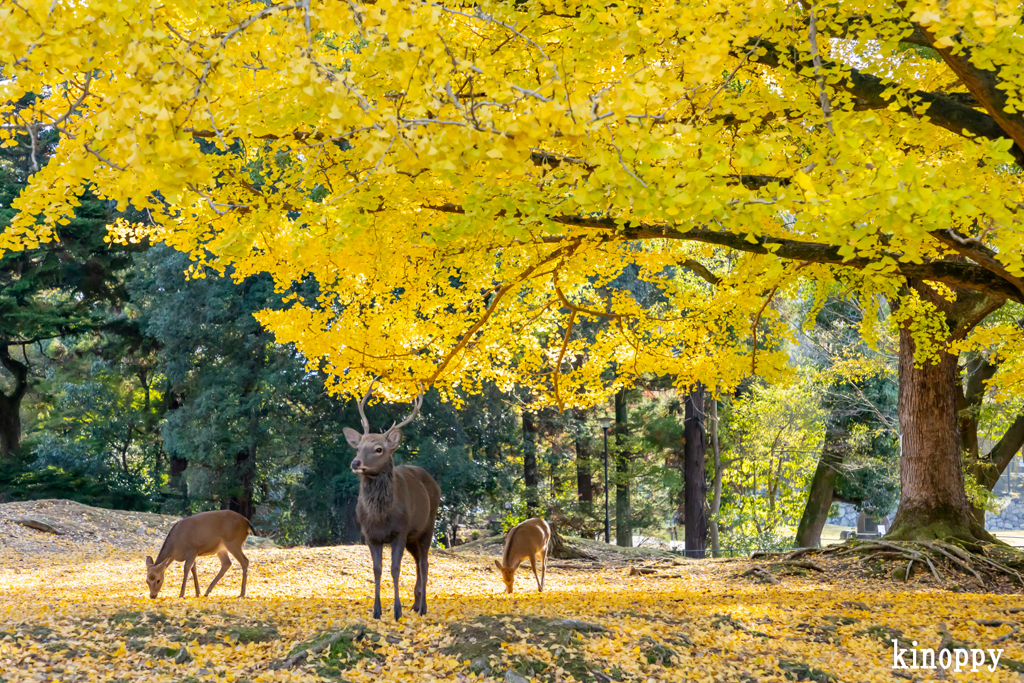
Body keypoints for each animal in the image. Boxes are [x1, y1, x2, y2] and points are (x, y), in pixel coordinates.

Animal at [344, 385, 440, 618]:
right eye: (358, 447)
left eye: (379, 449)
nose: (355, 463)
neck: (380, 516)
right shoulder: (369, 534)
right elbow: (376, 569)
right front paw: (376, 611)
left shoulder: (400, 531)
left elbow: (395, 569)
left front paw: (397, 611)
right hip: (413, 536)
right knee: (418, 561)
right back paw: (416, 604)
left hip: (428, 525)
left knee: (425, 563)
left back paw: (423, 608)